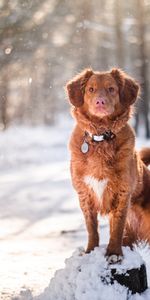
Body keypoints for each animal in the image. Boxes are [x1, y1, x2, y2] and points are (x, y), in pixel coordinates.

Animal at [65, 68, 150, 262]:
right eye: (91, 89)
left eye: (111, 89)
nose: (100, 102)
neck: (101, 136)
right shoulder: (84, 193)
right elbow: (91, 227)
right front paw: (90, 251)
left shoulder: (122, 192)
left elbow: (116, 226)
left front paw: (114, 253)